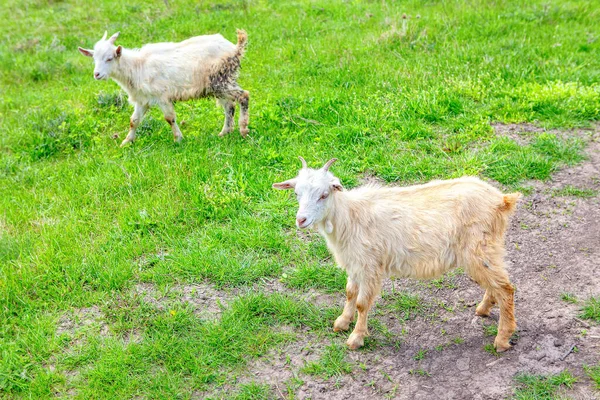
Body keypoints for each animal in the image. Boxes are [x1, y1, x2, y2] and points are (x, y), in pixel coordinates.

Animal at [79, 30, 248, 147]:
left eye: (109, 58)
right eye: (94, 59)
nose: (97, 74)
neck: (137, 67)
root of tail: (235, 48)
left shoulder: (162, 97)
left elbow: (169, 118)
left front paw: (178, 139)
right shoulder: (142, 100)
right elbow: (134, 120)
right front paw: (126, 142)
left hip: (221, 79)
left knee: (243, 96)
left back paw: (243, 130)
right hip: (219, 85)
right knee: (229, 106)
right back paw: (225, 132)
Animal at [274, 158, 520, 352]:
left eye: (324, 195)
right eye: (296, 194)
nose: (301, 220)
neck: (349, 217)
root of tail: (502, 200)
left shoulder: (370, 265)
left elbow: (362, 303)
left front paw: (356, 338)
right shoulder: (355, 262)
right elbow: (350, 292)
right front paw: (342, 322)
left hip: (480, 248)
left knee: (506, 289)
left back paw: (502, 339)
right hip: (485, 250)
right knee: (496, 284)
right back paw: (484, 309)